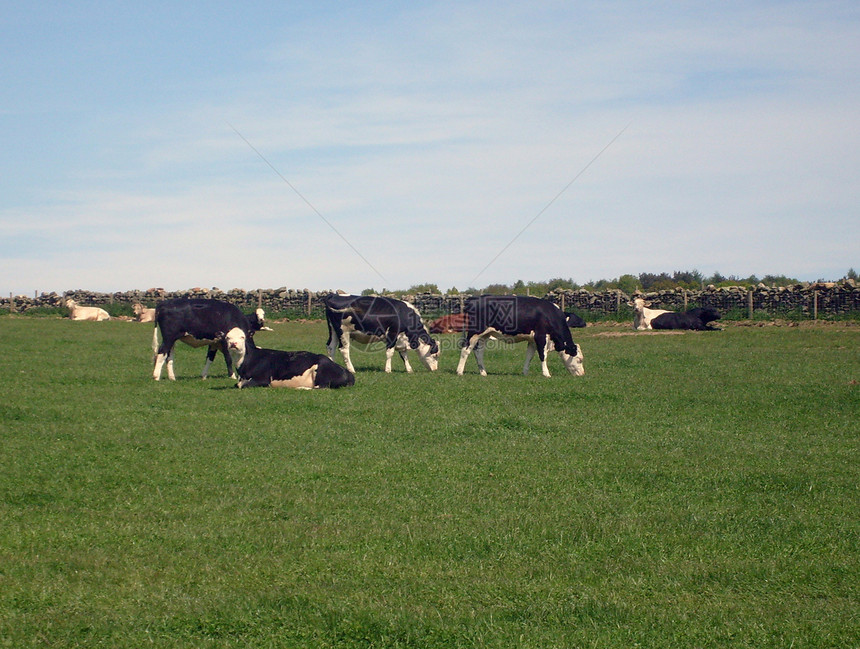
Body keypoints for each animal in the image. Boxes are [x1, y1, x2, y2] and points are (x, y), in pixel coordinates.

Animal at [225, 326, 356, 388]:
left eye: (242, 337)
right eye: (227, 337)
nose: (233, 344)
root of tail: (348, 373)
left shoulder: (263, 380)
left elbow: (241, 385)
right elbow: (238, 384)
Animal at [456, 294, 584, 378]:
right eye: (579, 359)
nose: (582, 374)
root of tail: (474, 298)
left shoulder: (532, 340)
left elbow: (529, 356)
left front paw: (525, 372)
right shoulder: (541, 336)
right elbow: (543, 356)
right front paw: (546, 374)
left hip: (485, 335)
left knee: (478, 352)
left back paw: (483, 372)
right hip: (474, 332)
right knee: (465, 350)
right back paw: (459, 371)